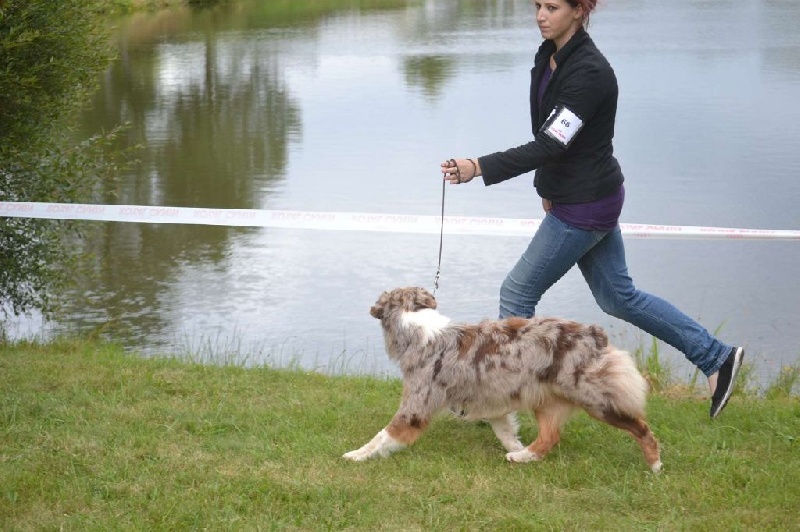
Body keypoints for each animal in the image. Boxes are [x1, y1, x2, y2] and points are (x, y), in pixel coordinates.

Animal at [342, 287, 662, 472]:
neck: (416, 325)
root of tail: (593, 334)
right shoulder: (491, 402)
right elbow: (506, 432)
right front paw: (516, 448)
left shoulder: (416, 406)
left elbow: (384, 435)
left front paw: (356, 455)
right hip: (545, 399)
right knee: (549, 437)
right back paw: (522, 458)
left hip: (596, 399)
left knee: (642, 427)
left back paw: (655, 464)